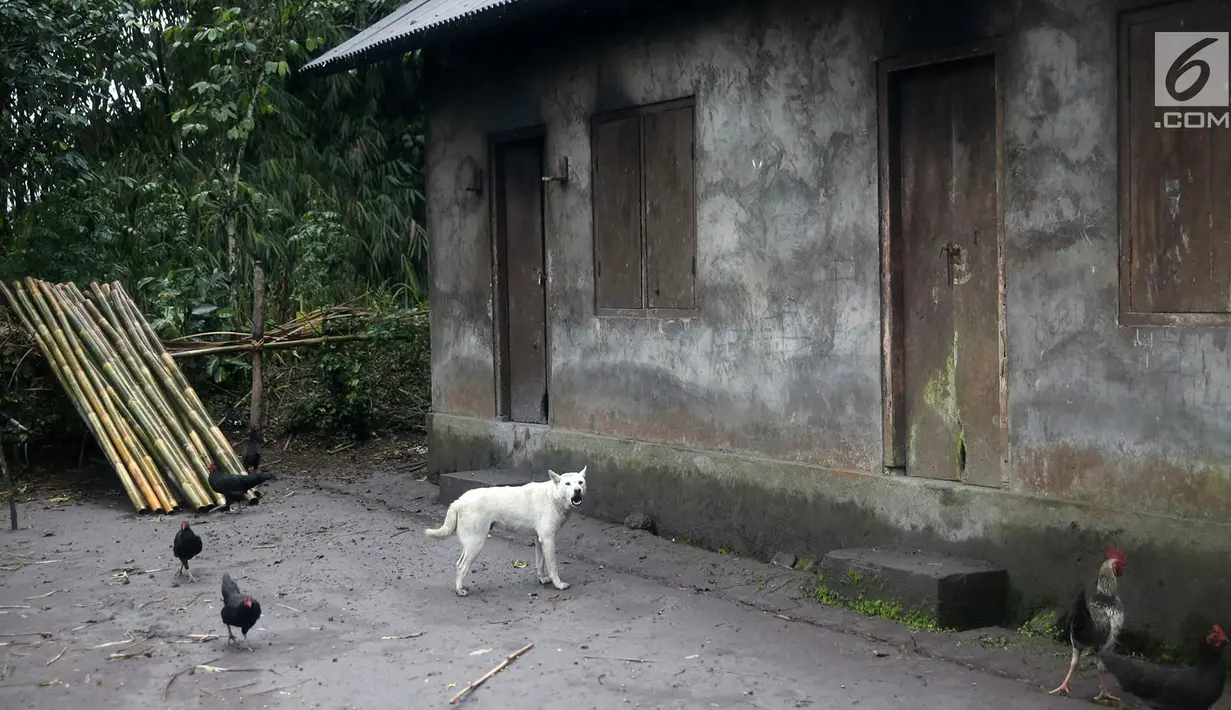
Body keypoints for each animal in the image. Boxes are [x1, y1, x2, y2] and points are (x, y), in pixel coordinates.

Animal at [425, 462, 588, 595]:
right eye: (567, 484)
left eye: (580, 482)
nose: (577, 490)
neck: (552, 496)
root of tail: (459, 501)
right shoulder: (548, 540)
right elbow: (553, 566)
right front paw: (558, 584)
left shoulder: (540, 540)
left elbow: (540, 563)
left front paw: (542, 579)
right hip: (475, 544)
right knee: (461, 567)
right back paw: (460, 590)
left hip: (470, 544)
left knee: (458, 564)